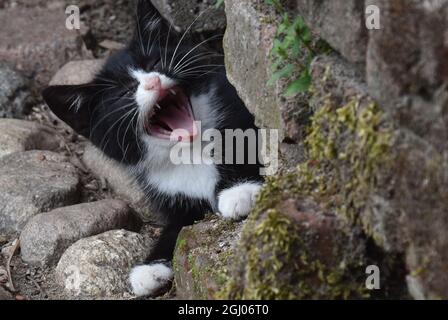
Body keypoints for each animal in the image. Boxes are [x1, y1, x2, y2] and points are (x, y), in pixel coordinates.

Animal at [42, 0, 262, 296]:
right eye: (124, 93)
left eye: (155, 63)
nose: (153, 82)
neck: (189, 152)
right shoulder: (172, 195)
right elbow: (177, 226)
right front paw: (150, 267)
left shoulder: (237, 103)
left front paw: (239, 190)